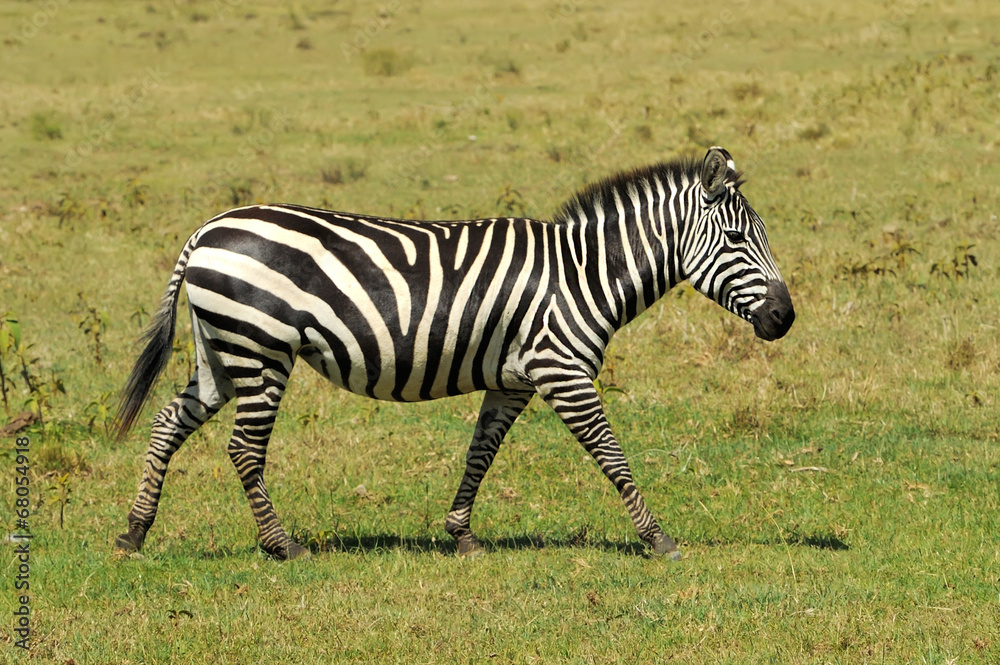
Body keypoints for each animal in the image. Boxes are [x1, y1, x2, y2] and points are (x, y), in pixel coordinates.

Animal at [113, 147, 794, 561]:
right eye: (737, 239)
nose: (785, 318)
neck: (583, 273)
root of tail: (206, 230)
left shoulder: (514, 378)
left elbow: (480, 453)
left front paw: (460, 533)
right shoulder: (562, 370)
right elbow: (612, 455)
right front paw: (658, 538)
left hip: (222, 351)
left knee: (169, 422)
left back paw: (134, 531)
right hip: (259, 349)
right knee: (243, 448)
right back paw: (283, 546)